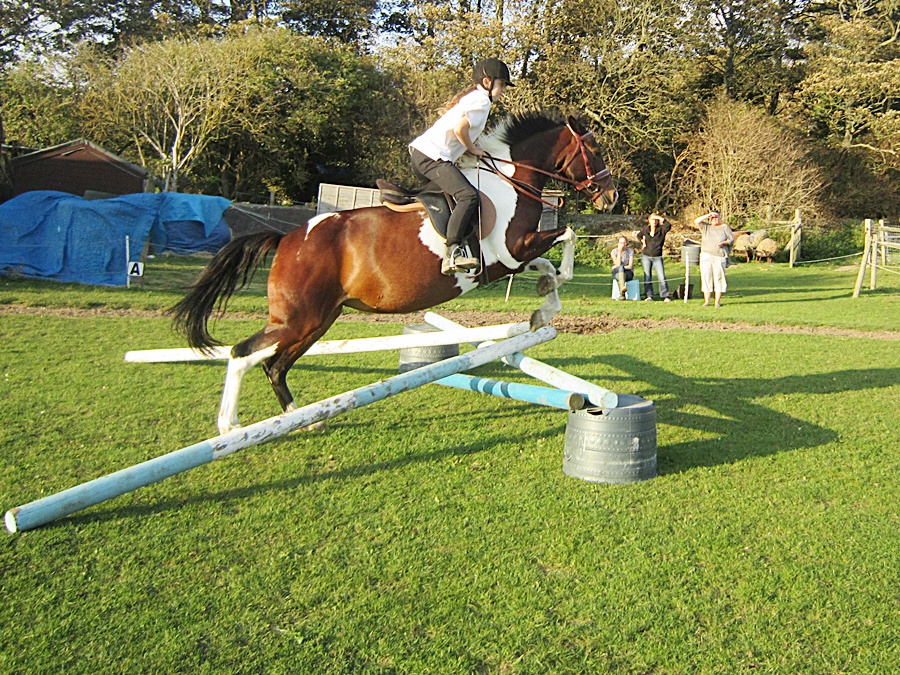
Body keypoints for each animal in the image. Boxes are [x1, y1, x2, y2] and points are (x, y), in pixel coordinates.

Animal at [171, 112, 617, 434]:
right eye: (594, 150)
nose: (611, 197)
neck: (512, 182)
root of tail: (287, 239)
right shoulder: (512, 250)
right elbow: (567, 238)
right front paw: (547, 298)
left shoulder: (513, 257)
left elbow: (550, 268)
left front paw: (542, 307)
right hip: (298, 318)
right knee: (242, 354)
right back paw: (230, 426)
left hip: (318, 321)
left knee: (275, 366)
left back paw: (302, 419)